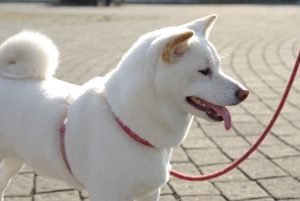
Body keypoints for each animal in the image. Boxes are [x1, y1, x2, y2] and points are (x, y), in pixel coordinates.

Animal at [0, 15, 248, 201]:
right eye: (204, 71)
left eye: (218, 67)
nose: (244, 92)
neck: (125, 123)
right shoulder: (108, 194)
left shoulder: (150, 193)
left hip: (15, 159)